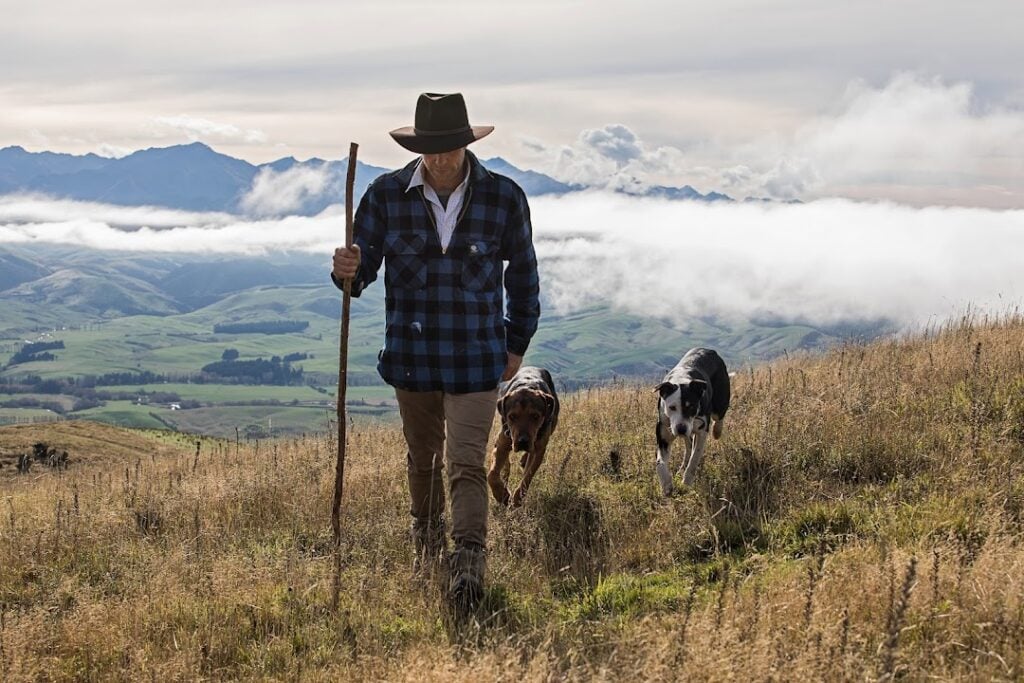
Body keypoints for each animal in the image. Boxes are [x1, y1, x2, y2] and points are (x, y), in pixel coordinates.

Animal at [487, 368, 561, 507]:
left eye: (535, 416)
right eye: (512, 416)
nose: (523, 441)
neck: (527, 386)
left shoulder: (538, 450)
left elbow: (527, 476)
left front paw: (517, 498)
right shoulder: (502, 444)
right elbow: (492, 474)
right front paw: (501, 494)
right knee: (505, 464)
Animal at [655, 350, 729, 493]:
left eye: (692, 407)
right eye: (672, 407)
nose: (681, 429)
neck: (681, 380)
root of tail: (710, 351)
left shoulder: (702, 432)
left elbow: (694, 459)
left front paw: (686, 482)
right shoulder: (664, 433)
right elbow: (659, 463)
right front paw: (667, 485)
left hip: (720, 401)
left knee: (719, 418)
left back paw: (717, 431)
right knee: (688, 446)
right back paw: (681, 468)